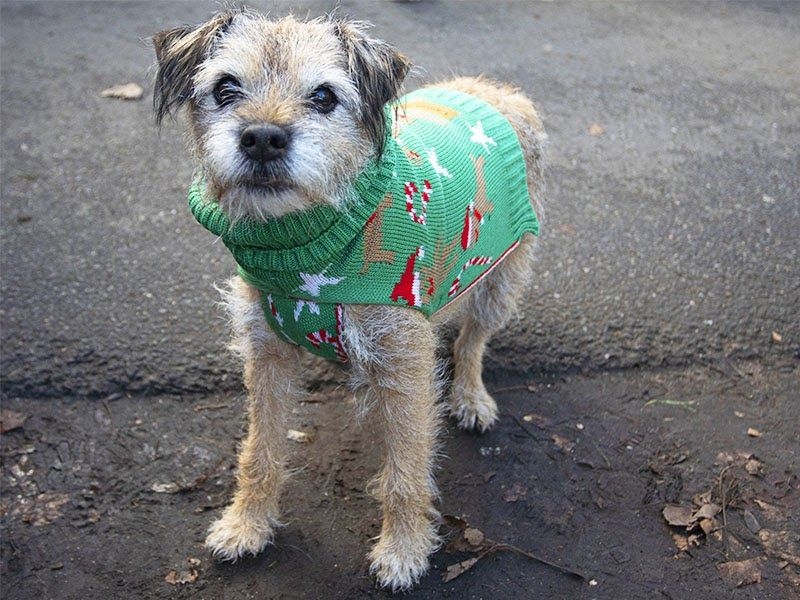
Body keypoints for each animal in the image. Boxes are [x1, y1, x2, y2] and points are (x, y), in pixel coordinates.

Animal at [153, 9, 548, 592]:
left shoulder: (405, 367)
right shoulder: (267, 356)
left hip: (502, 280)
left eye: (323, 96)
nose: (263, 137)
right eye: (225, 88)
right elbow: (259, 452)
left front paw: (404, 549)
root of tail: (498, 92)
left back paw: (471, 396)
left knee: (473, 340)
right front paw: (247, 523)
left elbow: (407, 471)